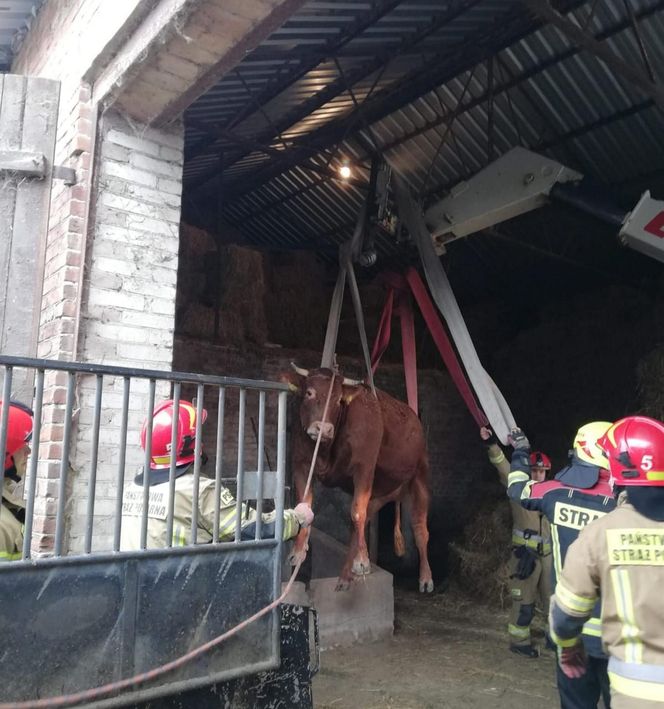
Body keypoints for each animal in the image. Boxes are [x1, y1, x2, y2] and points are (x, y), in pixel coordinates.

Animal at [282, 366, 434, 592]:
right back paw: (346, 576)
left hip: (420, 477)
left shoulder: (364, 468)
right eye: (309, 392)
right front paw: (298, 551)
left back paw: (425, 578)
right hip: (379, 494)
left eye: (338, 400)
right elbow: (305, 504)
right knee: (359, 524)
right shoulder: (300, 463)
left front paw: (362, 561)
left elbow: (356, 513)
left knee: (419, 529)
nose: (323, 429)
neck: (326, 450)